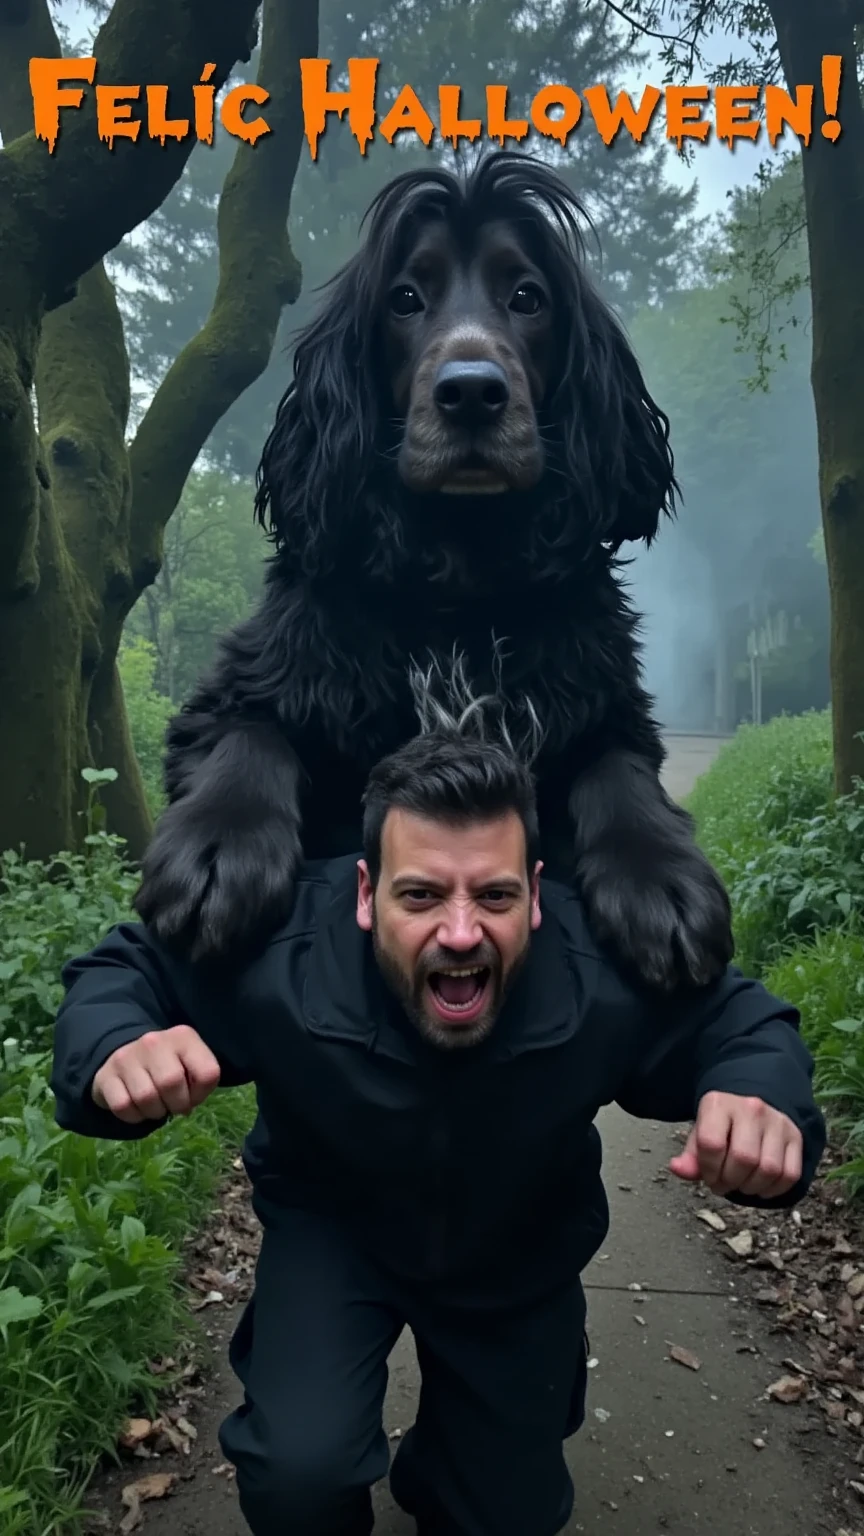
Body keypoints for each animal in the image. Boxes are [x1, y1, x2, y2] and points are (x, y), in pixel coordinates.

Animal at [132, 149, 725, 989]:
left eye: (527, 297)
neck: (458, 580)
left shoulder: (605, 704)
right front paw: (216, 848)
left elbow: (620, 773)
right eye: (405, 300)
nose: (471, 392)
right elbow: (249, 736)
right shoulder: (245, 683)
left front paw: (663, 878)